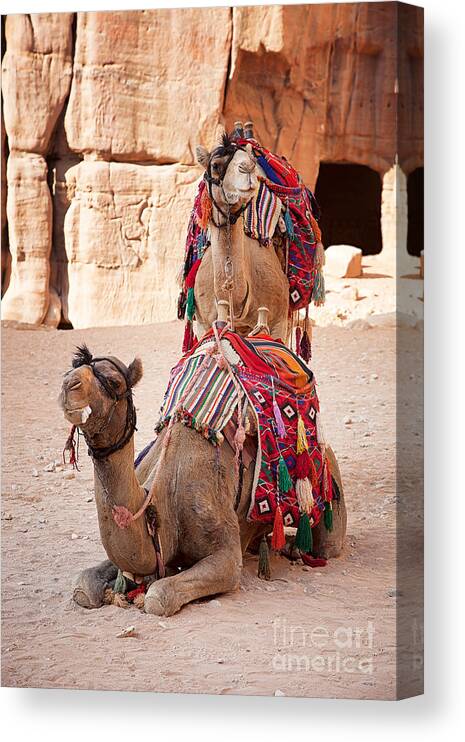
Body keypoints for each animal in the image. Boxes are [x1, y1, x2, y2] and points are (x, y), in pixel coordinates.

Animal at [59, 346, 344, 620]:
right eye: (72, 368)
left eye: (114, 381)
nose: (69, 384)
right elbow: (84, 586)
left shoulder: (226, 556)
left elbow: (158, 597)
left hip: (326, 479)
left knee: (326, 545)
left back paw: (296, 548)